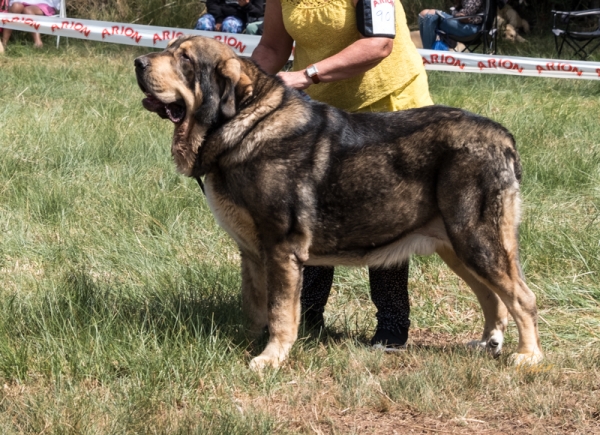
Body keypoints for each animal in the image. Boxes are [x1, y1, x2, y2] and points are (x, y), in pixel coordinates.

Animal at [135, 35, 544, 372]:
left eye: (185, 59)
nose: (138, 62)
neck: (246, 123)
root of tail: (503, 138)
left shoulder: (281, 248)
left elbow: (281, 311)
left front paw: (270, 358)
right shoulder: (251, 251)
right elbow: (254, 302)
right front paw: (250, 340)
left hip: (477, 239)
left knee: (521, 296)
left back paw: (528, 355)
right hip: (455, 246)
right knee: (491, 296)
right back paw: (488, 342)